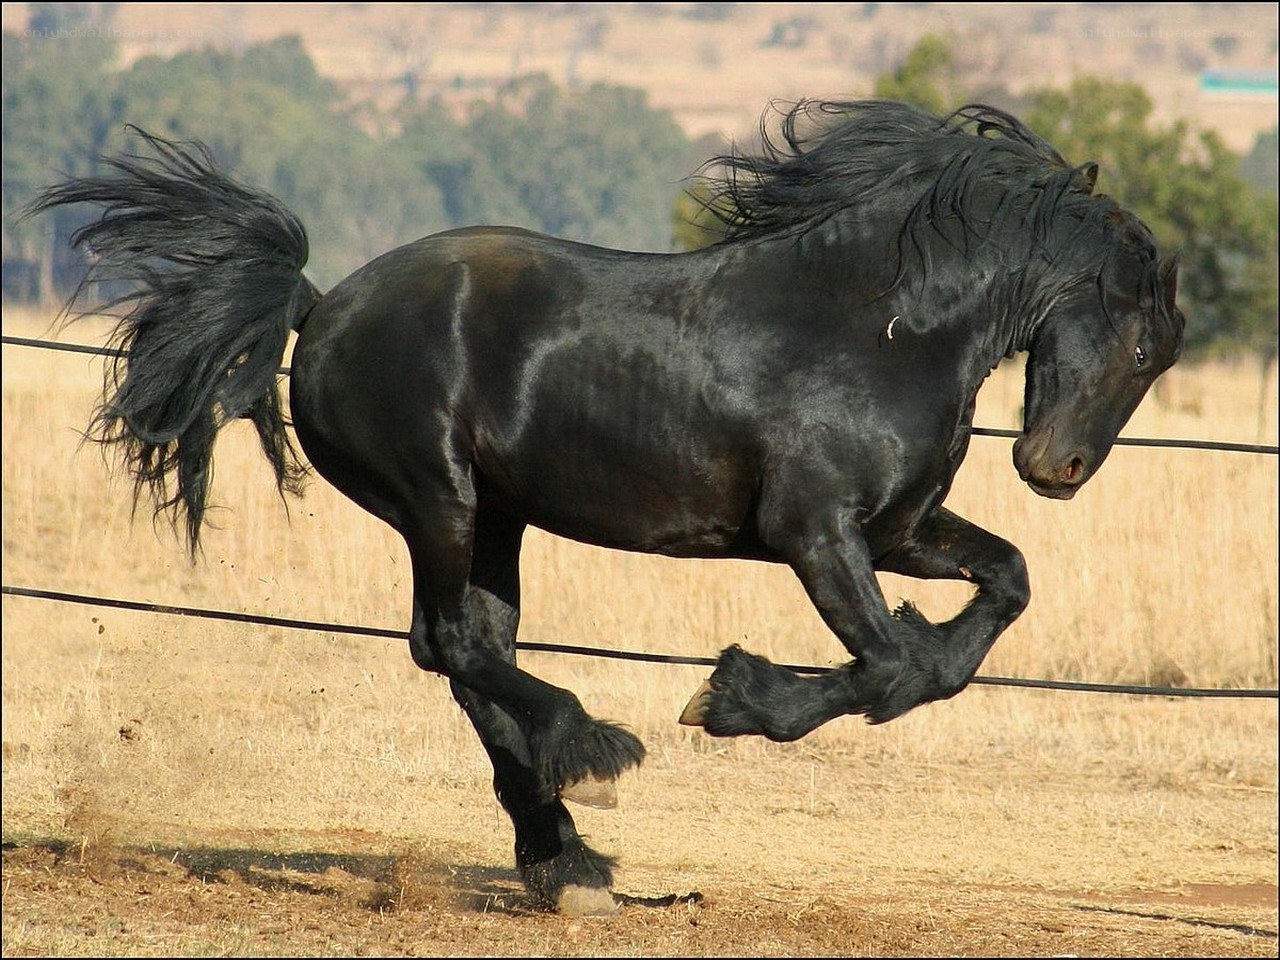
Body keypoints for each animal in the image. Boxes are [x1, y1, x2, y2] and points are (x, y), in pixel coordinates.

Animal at [31, 99, 1184, 916]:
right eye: (1140, 341)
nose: (1056, 467)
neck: (879, 329)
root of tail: (318, 311)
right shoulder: (813, 534)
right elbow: (892, 667)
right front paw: (729, 698)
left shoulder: (896, 531)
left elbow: (990, 600)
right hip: (439, 501)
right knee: (451, 645)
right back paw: (592, 755)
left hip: (494, 521)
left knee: (470, 655)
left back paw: (567, 858)